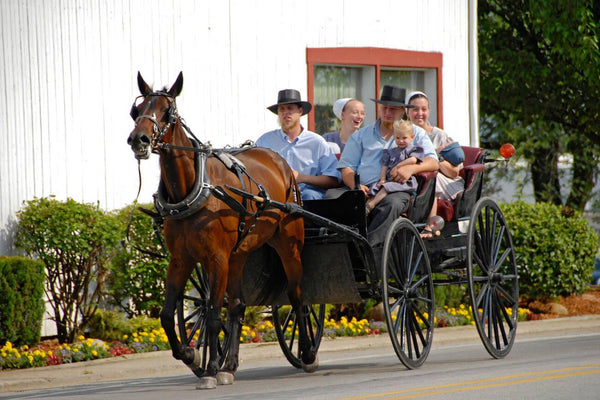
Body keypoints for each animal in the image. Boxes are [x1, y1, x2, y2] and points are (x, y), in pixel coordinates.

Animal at [127, 72, 318, 388]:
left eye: (168, 111)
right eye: (136, 110)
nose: (138, 139)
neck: (194, 189)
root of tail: (280, 162)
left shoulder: (216, 258)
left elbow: (215, 313)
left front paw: (210, 369)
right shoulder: (181, 259)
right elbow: (167, 315)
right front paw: (192, 356)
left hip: (289, 245)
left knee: (297, 296)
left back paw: (307, 353)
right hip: (238, 255)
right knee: (238, 305)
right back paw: (230, 365)